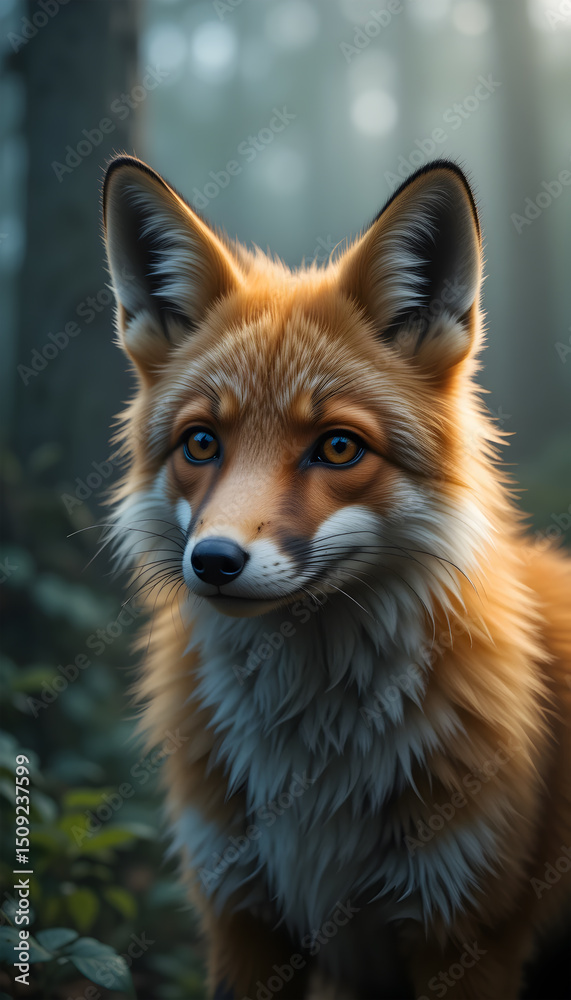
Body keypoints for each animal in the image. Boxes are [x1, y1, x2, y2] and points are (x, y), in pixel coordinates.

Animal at [101, 155, 571, 1000]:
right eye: (200, 442)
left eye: (339, 447)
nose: (213, 562)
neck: (313, 767)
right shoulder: (243, 919)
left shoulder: (465, 934)